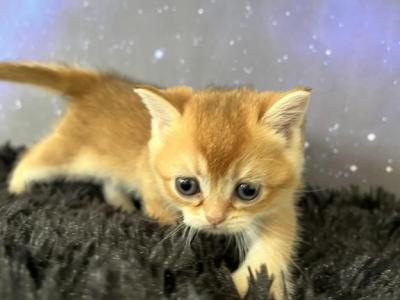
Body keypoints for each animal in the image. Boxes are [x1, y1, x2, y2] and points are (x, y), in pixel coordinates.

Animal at [0, 62, 310, 298]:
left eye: (248, 191)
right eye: (186, 186)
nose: (215, 218)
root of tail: (97, 81)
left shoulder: (281, 205)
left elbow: (274, 247)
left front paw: (254, 284)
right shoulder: (148, 177)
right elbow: (161, 213)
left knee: (109, 182)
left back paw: (122, 205)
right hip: (70, 154)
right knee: (32, 158)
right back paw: (17, 188)